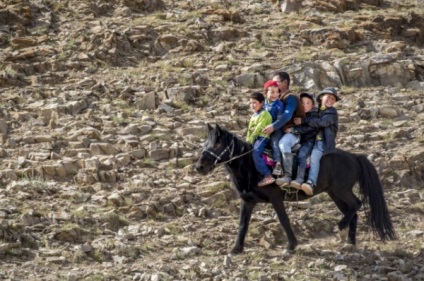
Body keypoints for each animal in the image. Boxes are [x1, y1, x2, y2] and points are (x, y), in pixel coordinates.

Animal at [197, 124, 396, 254]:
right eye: (205, 143)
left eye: (216, 144)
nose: (200, 167)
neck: (251, 166)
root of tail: (354, 156)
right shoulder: (247, 201)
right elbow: (242, 225)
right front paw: (236, 249)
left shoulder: (276, 198)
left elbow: (284, 220)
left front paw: (290, 246)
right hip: (334, 193)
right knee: (352, 212)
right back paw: (349, 242)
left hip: (342, 191)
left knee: (356, 204)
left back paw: (340, 228)